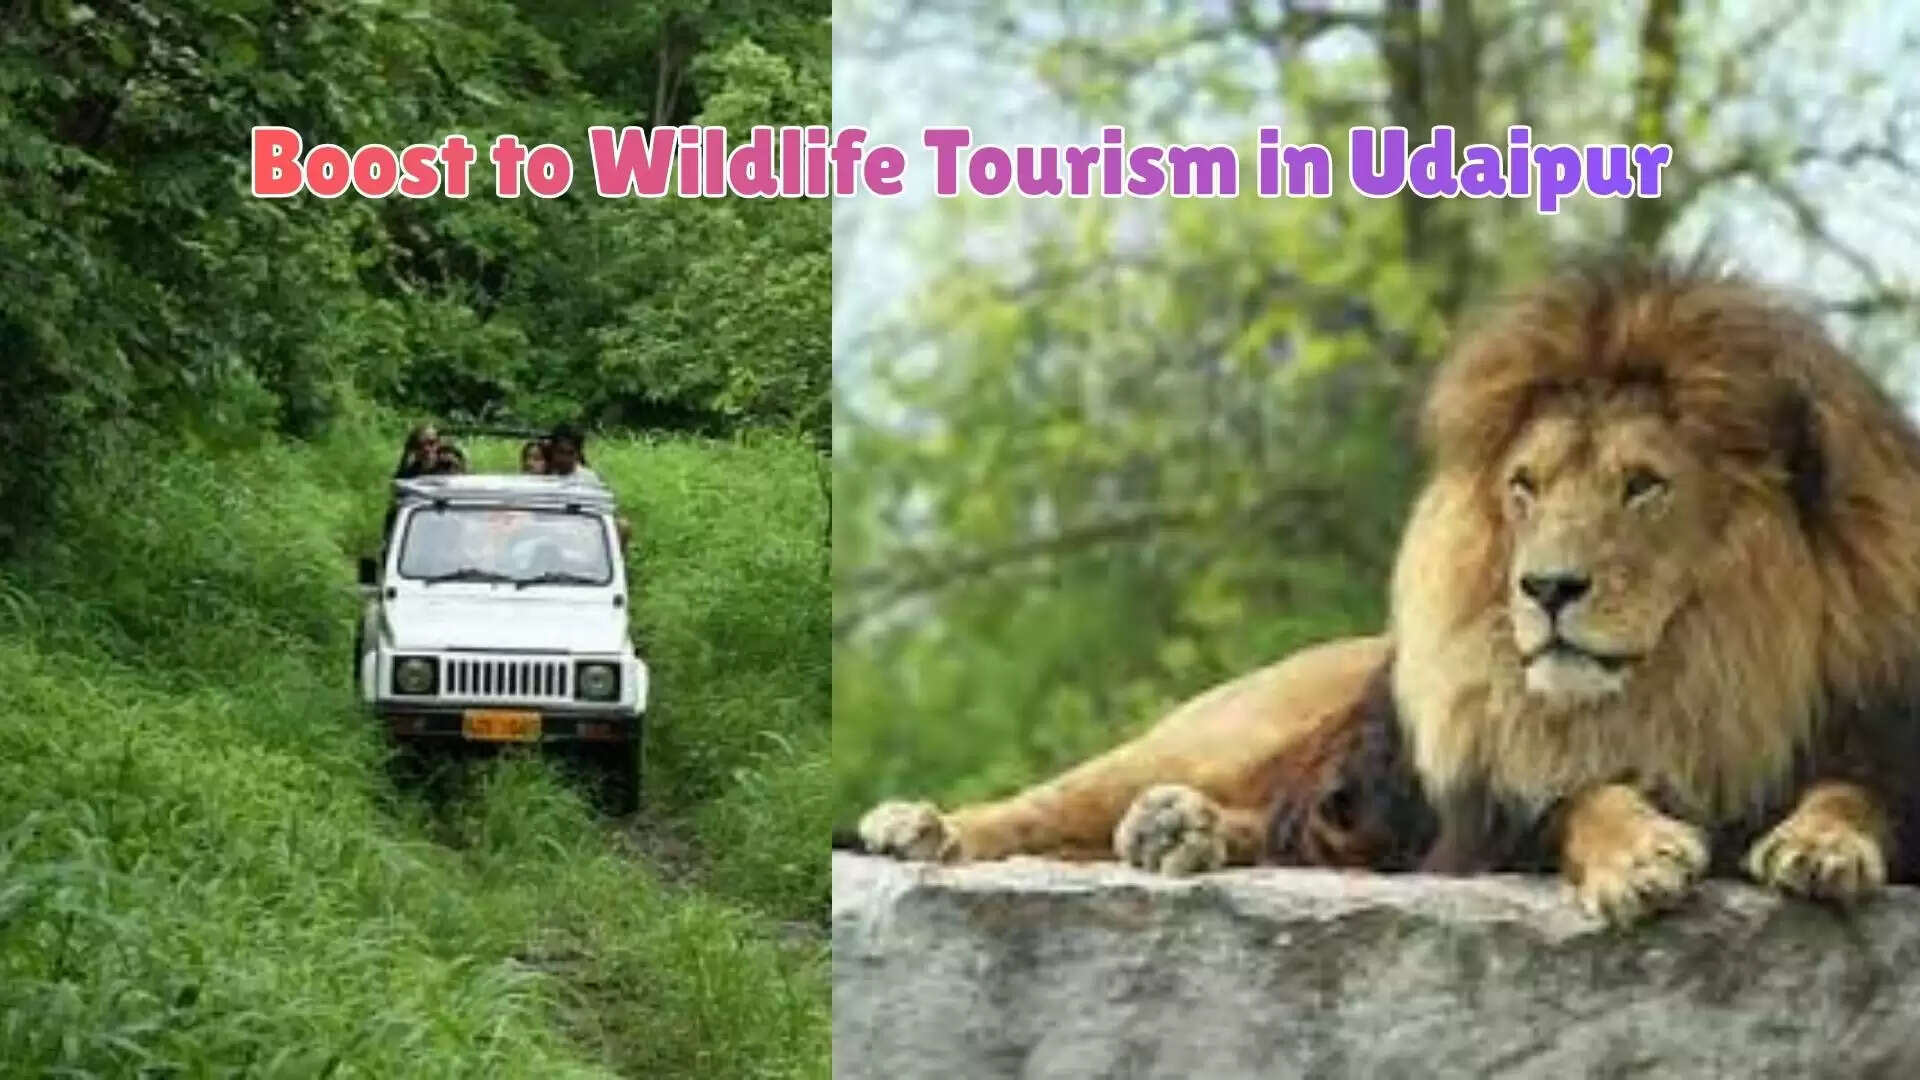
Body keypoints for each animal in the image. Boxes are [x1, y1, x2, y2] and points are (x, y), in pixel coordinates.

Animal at [847, 253, 1920, 926]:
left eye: (1644, 485)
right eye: (1525, 487)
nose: (1546, 587)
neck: (1710, 669)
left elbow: (1858, 790)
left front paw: (1822, 846)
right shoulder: (1486, 814)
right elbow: (1575, 796)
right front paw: (1637, 856)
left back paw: (1180, 833)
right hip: (1230, 725)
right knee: (1055, 805)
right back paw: (928, 828)